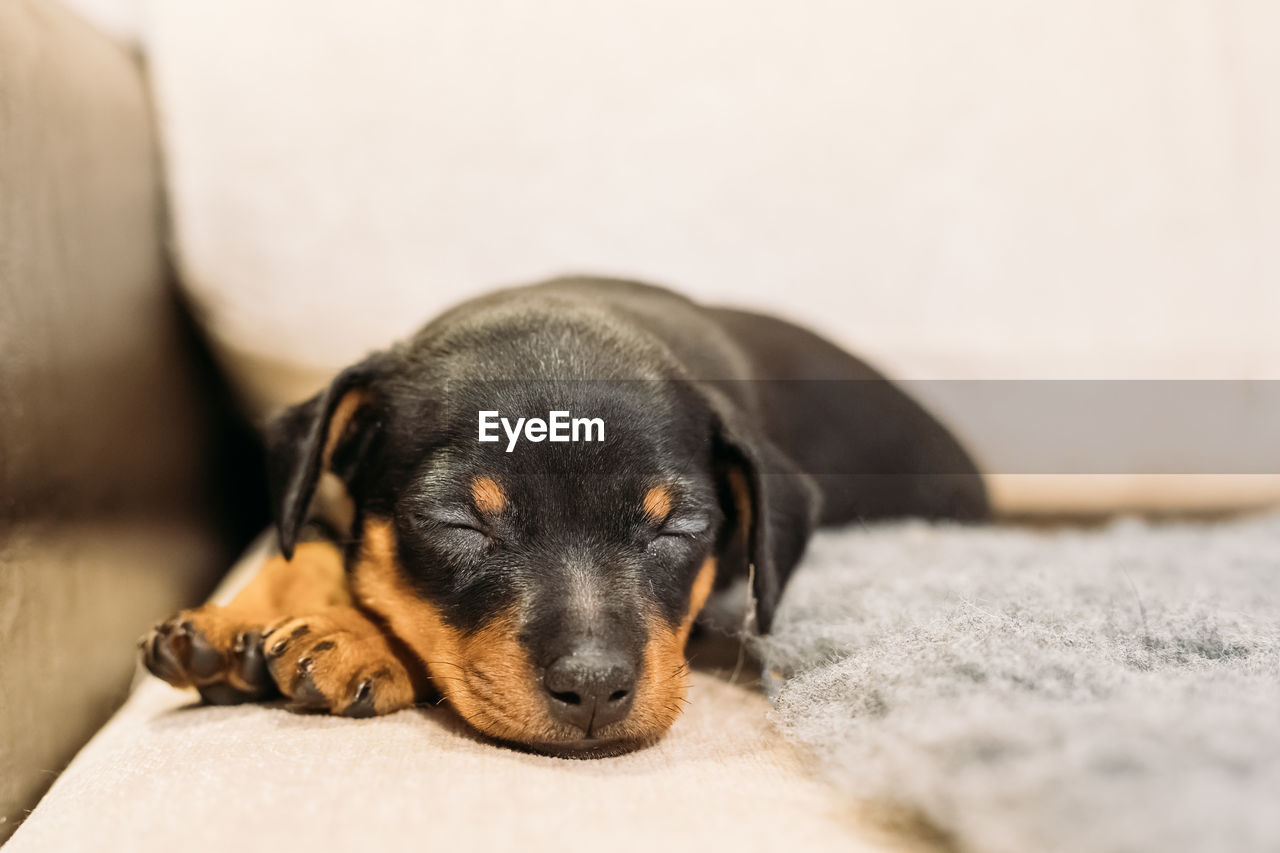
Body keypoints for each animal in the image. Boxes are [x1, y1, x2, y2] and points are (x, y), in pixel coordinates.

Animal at [140, 275, 983, 753]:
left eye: (677, 528)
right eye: (459, 523)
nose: (595, 690)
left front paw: (352, 637)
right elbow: (307, 541)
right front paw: (231, 624)